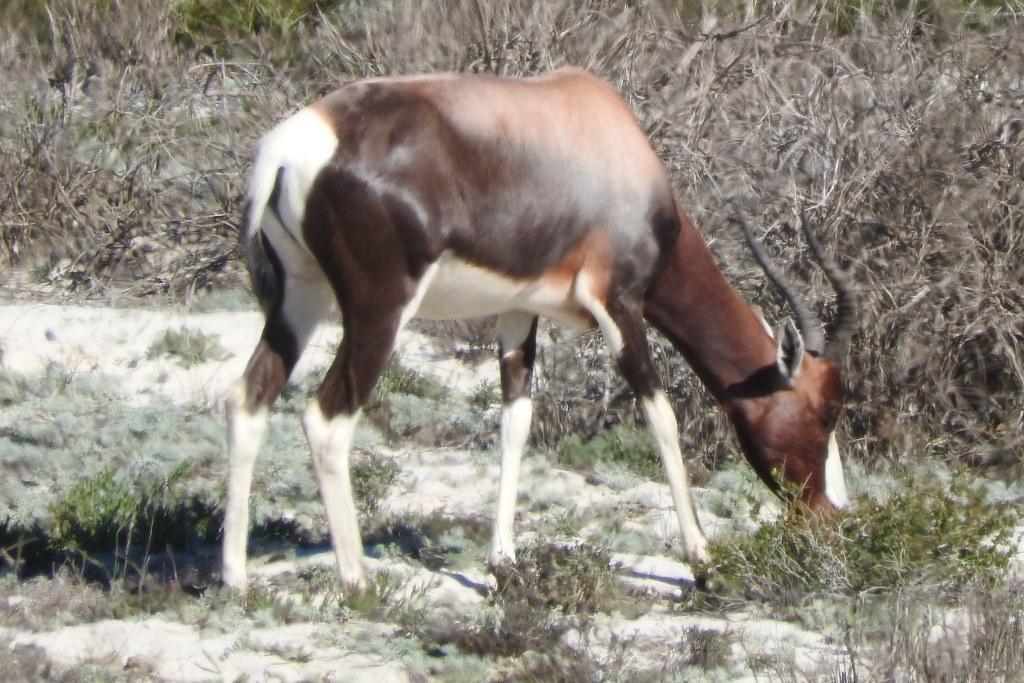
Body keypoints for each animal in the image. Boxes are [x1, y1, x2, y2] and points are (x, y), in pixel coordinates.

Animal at [222, 68, 856, 593]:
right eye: (826, 412)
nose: (831, 517)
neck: (605, 135)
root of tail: (293, 145)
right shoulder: (618, 304)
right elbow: (661, 417)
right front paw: (701, 556)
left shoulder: (517, 310)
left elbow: (516, 422)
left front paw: (502, 560)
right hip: (379, 311)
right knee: (326, 420)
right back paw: (357, 582)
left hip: (299, 298)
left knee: (250, 396)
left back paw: (235, 578)